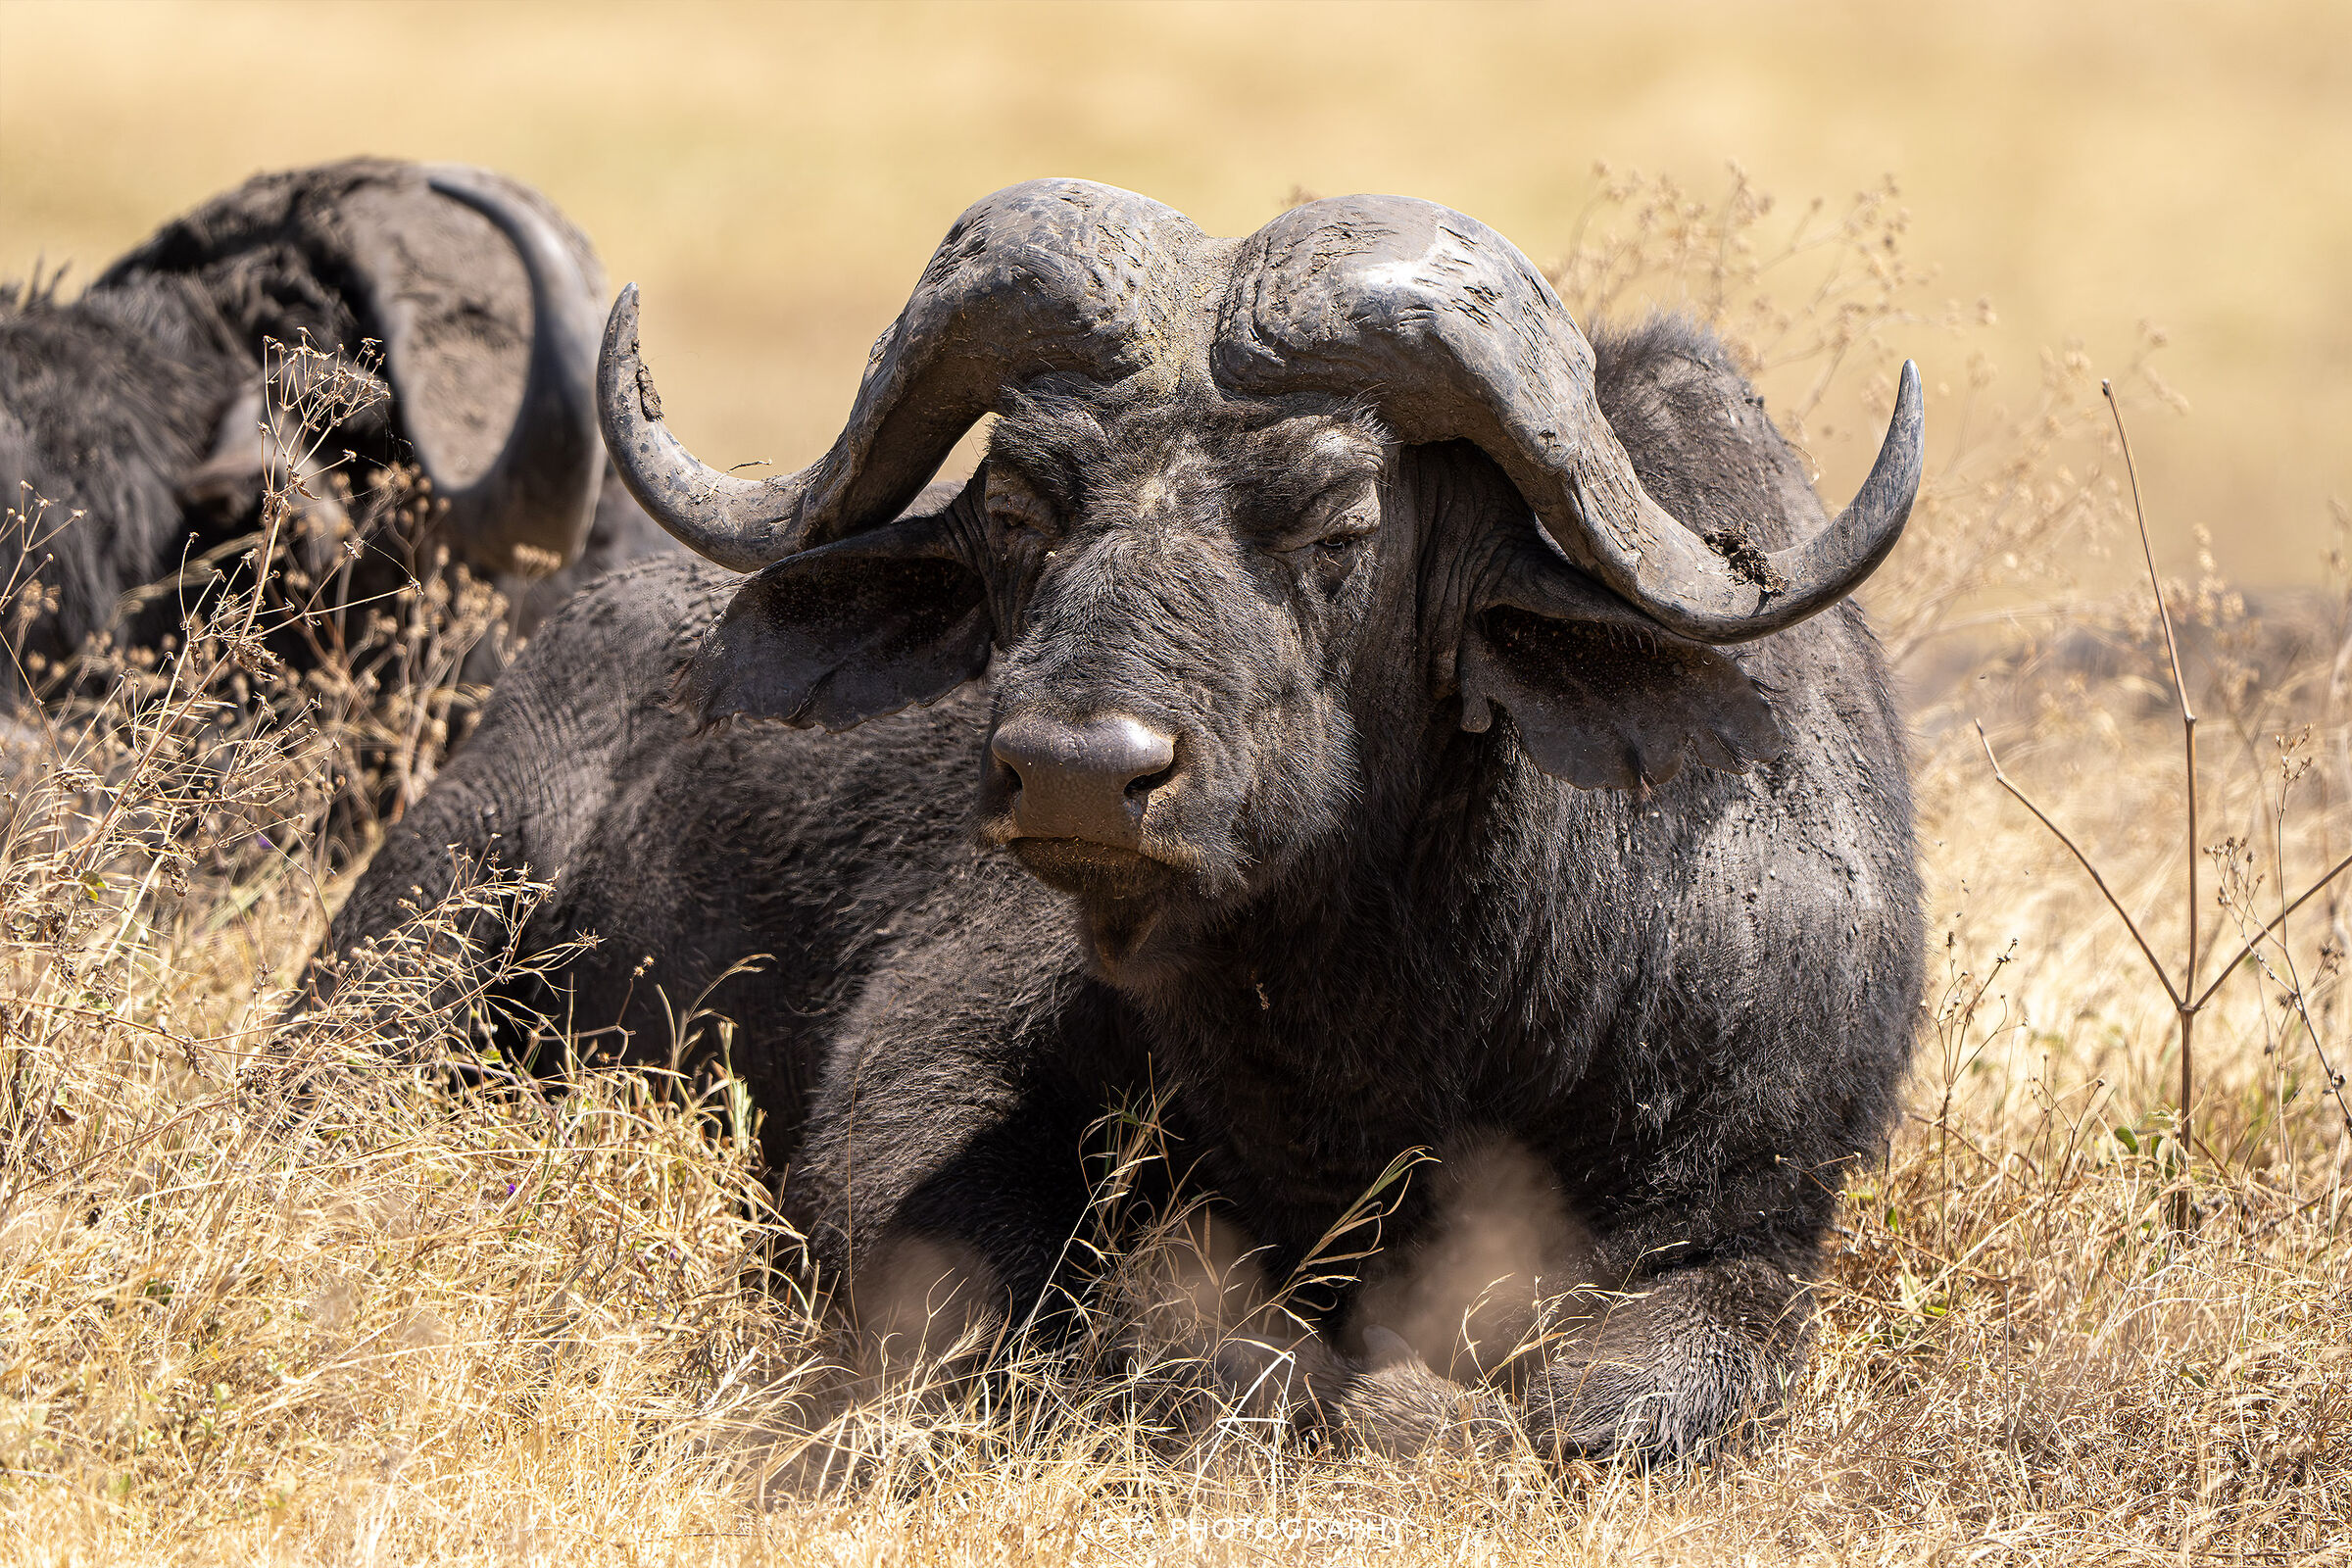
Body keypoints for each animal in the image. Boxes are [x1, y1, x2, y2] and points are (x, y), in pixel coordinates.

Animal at [311, 179, 1925, 1464]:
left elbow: (1620, 1399)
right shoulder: (918, 1096)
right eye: (1024, 505)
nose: (1081, 771)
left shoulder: (1754, 1204)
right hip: (402, 946)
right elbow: (1159, 1329)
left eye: (1343, 522)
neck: (1400, 1027)